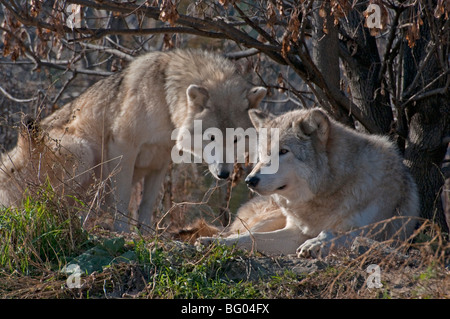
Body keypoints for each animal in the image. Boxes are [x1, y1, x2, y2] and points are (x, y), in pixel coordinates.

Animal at [0, 50, 268, 232]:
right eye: (211, 137)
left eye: (235, 139)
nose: (224, 174)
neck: (164, 102)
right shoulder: (123, 148)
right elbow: (123, 199)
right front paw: (123, 233)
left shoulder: (160, 162)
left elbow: (146, 205)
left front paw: (146, 235)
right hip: (83, 153)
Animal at [199, 108, 420, 258]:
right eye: (262, 154)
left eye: (283, 151)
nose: (250, 180)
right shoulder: (294, 232)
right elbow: (251, 239)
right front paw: (213, 243)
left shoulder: (383, 235)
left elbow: (339, 234)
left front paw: (315, 244)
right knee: (241, 233)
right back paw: (210, 240)